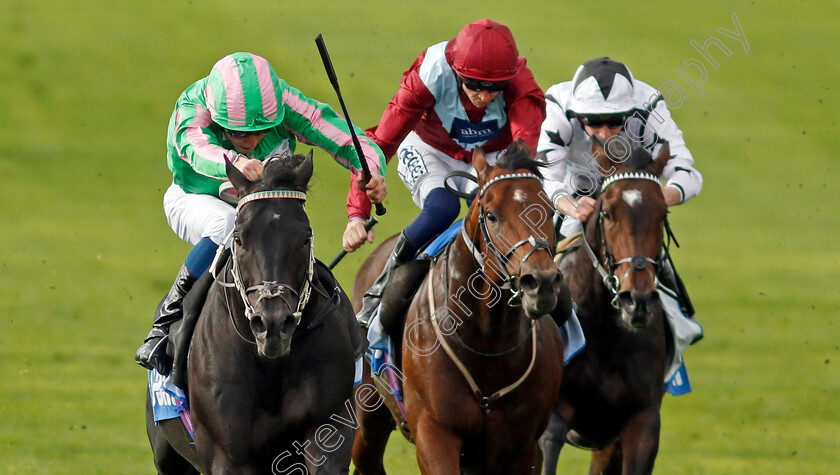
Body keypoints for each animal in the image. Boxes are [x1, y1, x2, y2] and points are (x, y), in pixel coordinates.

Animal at [144, 153, 364, 475]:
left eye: (305, 237)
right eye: (238, 239)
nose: (272, 324)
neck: (270, 366)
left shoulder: (329, 431)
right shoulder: (227, 454)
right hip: (168, 456)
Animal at [352, 142, 564, 475]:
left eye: (550, 211)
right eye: (491, 215)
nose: (540, 282)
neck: (488, 344)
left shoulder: (521, 448)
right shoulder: (434, 433)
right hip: (369, 411)